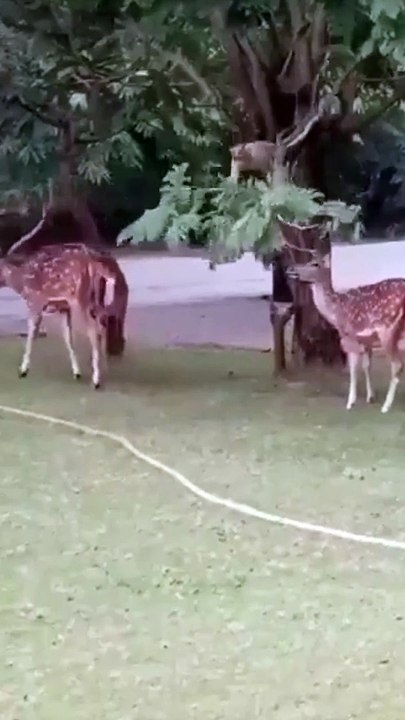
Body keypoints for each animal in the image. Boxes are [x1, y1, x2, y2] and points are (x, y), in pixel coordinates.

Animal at [0, 246, 118, 388]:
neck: (21, 282)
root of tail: (94, 264)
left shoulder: (35, 302)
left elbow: (31, 334)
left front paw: (23, 370)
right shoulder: (63, 308)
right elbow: (67, 337)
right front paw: (76, 372)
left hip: (80, 298)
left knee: (93, 330)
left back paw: (96, 380)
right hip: (96, 299)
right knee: (103, 321)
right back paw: (105, 366)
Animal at [287, 250, 405, 413]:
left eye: (315, 264)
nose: (290, 268)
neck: (336, 313)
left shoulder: (348, 335)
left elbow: (353, 369)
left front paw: (350, 402)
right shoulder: (365, 340)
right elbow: (366, 366)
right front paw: (370, 397)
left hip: (388, 329)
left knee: (397, 364)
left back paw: (386, 406)